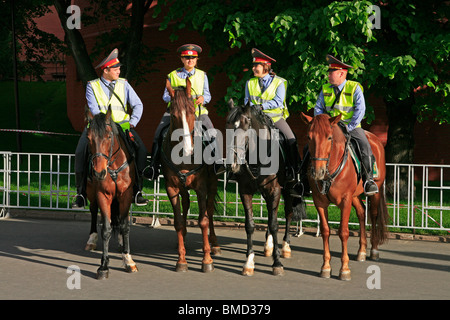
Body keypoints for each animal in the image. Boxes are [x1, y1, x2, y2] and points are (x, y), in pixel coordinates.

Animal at [85, 109, 138, 278]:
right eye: (89, 138)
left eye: (109, 136)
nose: (99, 172)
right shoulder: (103, 195)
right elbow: (106, 229)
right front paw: (103, 266)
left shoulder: (125, 196)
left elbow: (125, 226)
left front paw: (128, 260)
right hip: (91, 193)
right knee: (93, 211)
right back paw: (91, 239)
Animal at [162, 77, 220, 272]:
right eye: (173, 115)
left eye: (192, 111)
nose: (188, 150)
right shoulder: (171, 188)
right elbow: (178, 222)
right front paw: (181, 260)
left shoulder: (202, 187)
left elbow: (203, 220)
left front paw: (207, 260)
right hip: (183, 187)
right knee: (186, 204)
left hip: (212, 184)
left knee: (209, 211)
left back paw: (215, 244)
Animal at [225, 100, 306, 276]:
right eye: (227, 125)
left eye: (245, 125)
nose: (231, 163)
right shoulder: (245, 191)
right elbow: (250, 225)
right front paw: (249, 261)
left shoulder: (275, 191)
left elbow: (275, 224)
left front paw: (277, 263)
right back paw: (268, 245)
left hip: (287, 190)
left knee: (288, 214)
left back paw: (286, 246)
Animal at [302, 112, 390, 280]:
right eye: (309, 137)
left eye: (329, 137)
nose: (317, 172)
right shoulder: (319, 201)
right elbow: (325, 231)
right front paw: (326, 267)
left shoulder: (345, 200)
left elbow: (343, 232)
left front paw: (344, 269)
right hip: (355, 196)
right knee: (362, 212)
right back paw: (361, 251)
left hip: (374, 191)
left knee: (373, 215)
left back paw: (374, 250)